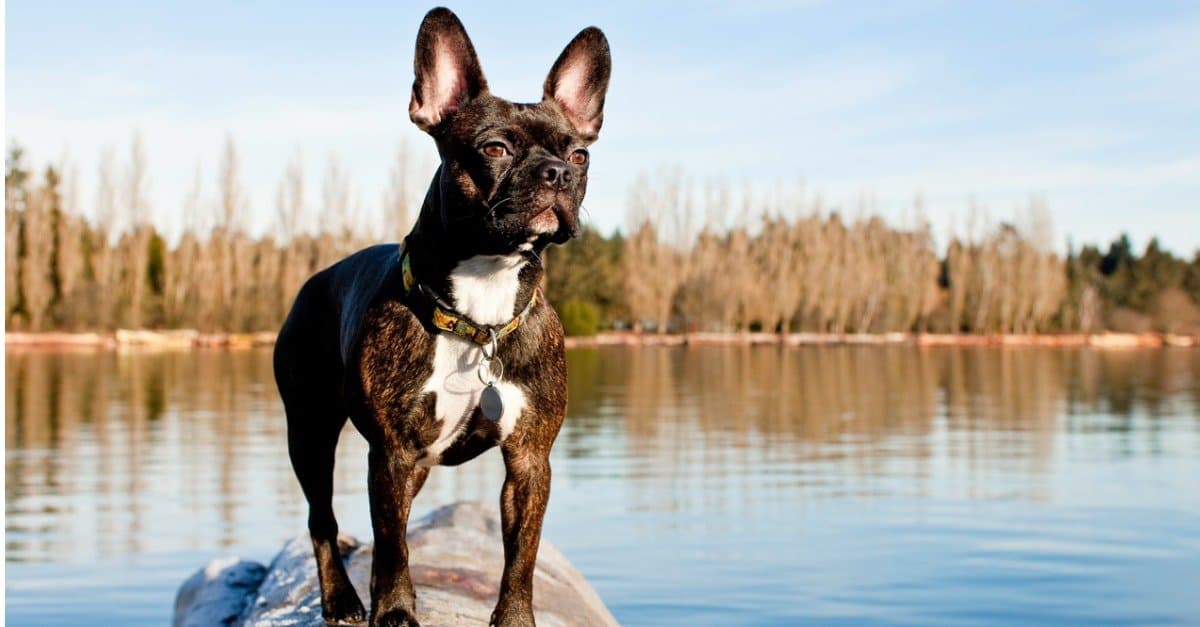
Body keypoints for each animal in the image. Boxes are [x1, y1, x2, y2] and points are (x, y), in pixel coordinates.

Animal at [273, 6, 609, 624]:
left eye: (580, 155)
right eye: (495, 148)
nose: (557, 173)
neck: (481, 311)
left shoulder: (530, 460)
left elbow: (521, 554)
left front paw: (515, 618)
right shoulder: (391, 454)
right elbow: (393, 545)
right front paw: (395, 612)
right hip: (309, 429)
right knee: (322, 519)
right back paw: (343, 598)